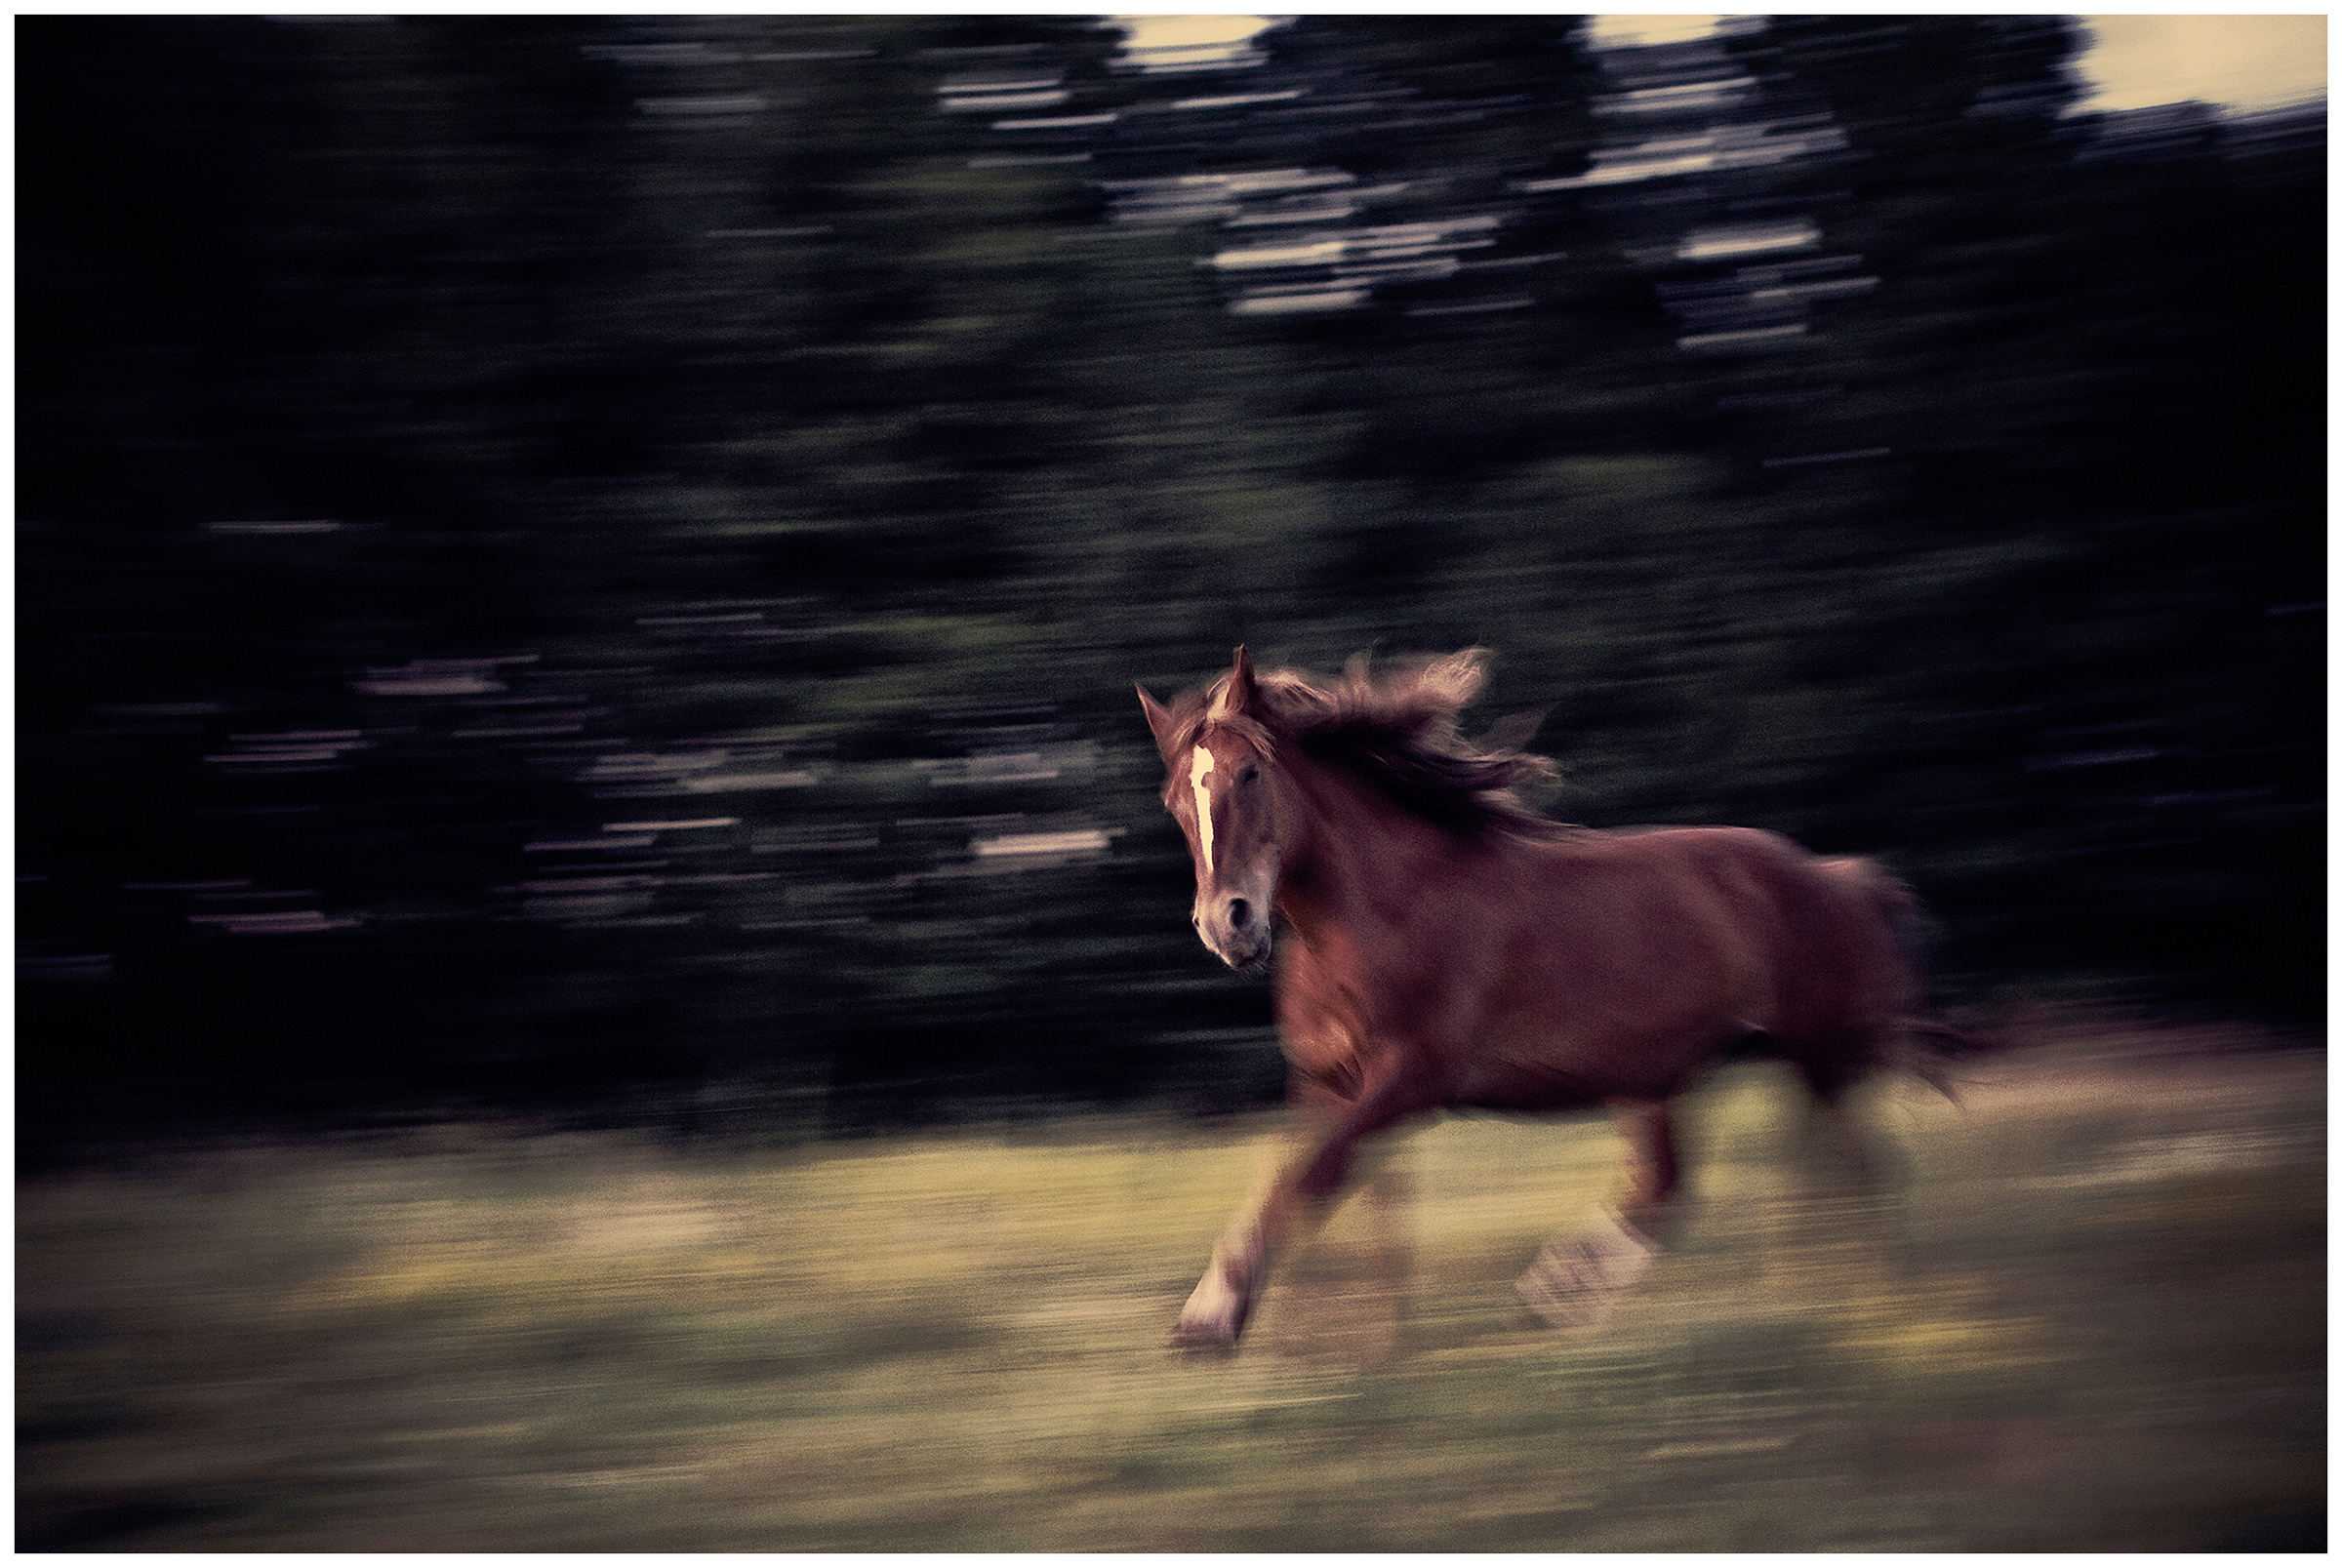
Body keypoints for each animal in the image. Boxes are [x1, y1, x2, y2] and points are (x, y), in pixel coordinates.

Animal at [1136, 645, 1945, 1351]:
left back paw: (1858, 1298)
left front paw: (1210, 1320)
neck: (1381, 910)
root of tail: (1843, 875)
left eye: (1248, 774)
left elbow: (1307, 1179)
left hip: (1817, 1054)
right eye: (1176, 798)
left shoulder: (1414, 1077)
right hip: (1657, 1074)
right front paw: (1352, 1344)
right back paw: (1564, 1298)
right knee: (1672, 1183)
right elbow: (1333, 1192)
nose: (1227, 924)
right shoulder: (1324, 1082)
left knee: (1855, 1170)